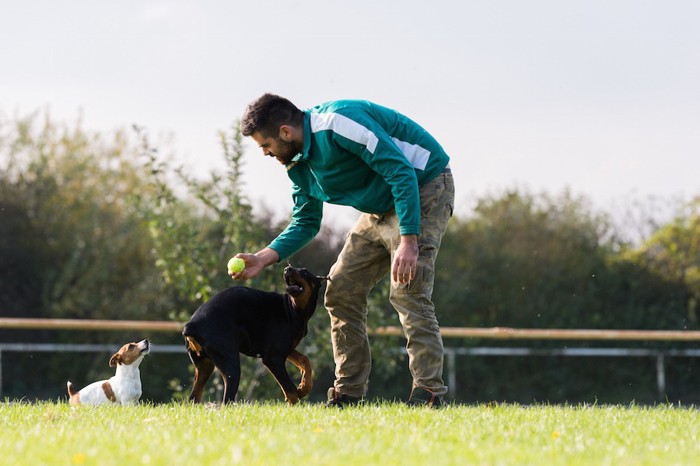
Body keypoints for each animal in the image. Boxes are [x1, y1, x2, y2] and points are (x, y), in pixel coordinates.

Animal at [185, 266, 330, 404]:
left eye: (305, 272)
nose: (287, 269)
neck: (293, 309)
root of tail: (191, 325)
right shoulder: (273, 358)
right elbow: (291, 391)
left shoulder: (285, 349)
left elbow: (305, 360)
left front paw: (304, 387)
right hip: (230, 365)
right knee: (227, 400)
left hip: (205, 365)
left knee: (194, 398)